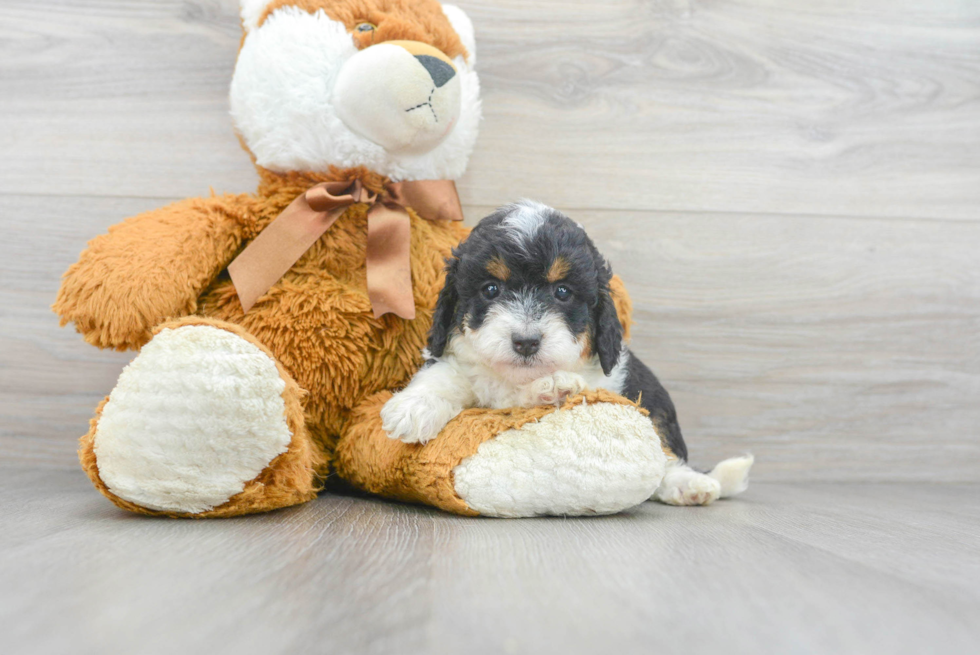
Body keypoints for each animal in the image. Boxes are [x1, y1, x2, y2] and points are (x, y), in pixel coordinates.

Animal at [378, 200, 756, 508]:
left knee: (665, 453)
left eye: (562, 292)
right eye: (491, 289)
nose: (526, 342)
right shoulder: (456, 358)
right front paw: (412, 408)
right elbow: (444, 375)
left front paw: (552, 388)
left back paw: (688, 484)